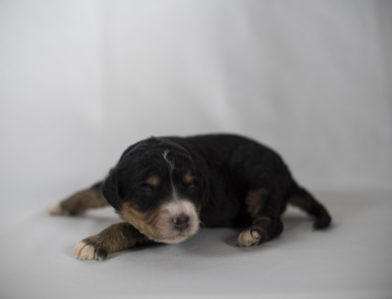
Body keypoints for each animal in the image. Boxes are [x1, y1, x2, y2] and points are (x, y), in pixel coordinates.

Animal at [47, 135, 332, 262]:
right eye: (147, 188)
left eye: (192, 185)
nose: (183, 220)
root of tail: (288, 174)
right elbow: (91, 192)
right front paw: (59, 205)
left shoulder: (152, 228)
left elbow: (124, 227)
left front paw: (93, 243)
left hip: (261, 185)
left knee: (274, 219)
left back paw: (254, 233)